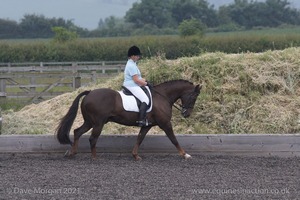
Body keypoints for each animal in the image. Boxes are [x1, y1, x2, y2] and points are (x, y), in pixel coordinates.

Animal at [56, 79, 202, 160]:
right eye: (194, 96)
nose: (186, 114)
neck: (163, 96)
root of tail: (89, 93)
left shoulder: (147, 125)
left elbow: (139, 139)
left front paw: (135, 155)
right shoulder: (165, 124)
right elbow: (174, 139)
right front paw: (185, 155)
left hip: (89, 122)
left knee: (77, 132)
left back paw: (72, 152)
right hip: (98, 123)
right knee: (92, 138)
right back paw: (94, 157)